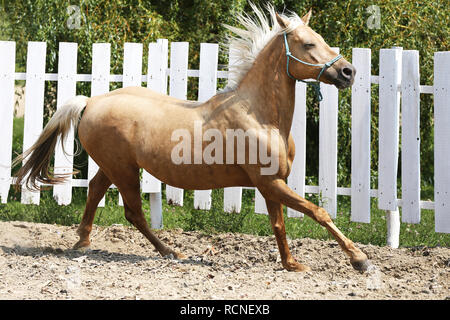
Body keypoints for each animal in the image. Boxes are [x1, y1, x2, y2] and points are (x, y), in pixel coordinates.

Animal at [15, 6, 370, 272]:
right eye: (308, 44)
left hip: (114, 166)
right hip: (124, 170)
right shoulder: (269, 182)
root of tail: (91, 101)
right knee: (133, 212)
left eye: (321, 38)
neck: (259, 116)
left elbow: (279, 224)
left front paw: (291, 264)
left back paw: (83, 243)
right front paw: (360, 260)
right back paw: (170, 252)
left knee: (94, 191)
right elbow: (318, 212)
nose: (348, 72)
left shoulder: (272, 182)